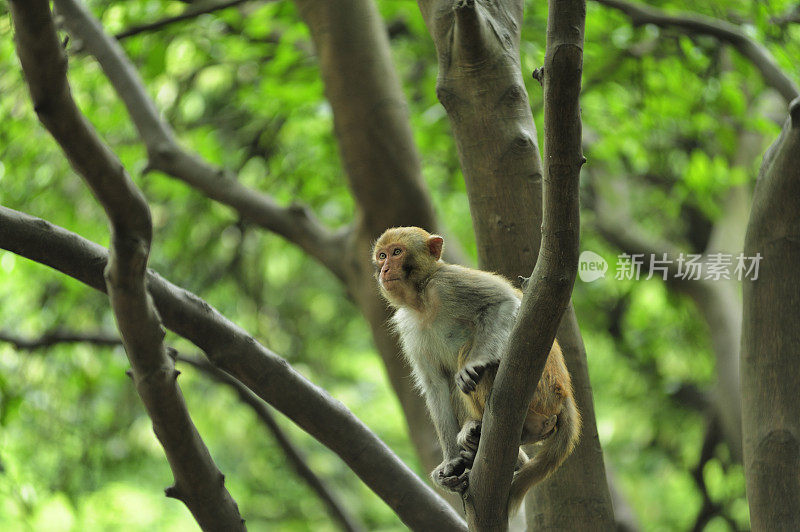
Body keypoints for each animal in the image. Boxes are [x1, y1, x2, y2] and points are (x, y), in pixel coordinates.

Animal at [372, 227, 580, 512]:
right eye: (382, 256)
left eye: (396, 252)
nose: (384, 269)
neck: (422, 300)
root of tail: (565, 394)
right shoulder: (408, 326)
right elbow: (435, 386)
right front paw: (450, 464)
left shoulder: (448, 282)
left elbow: (505, 302)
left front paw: (475, 362)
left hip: (542, 392)